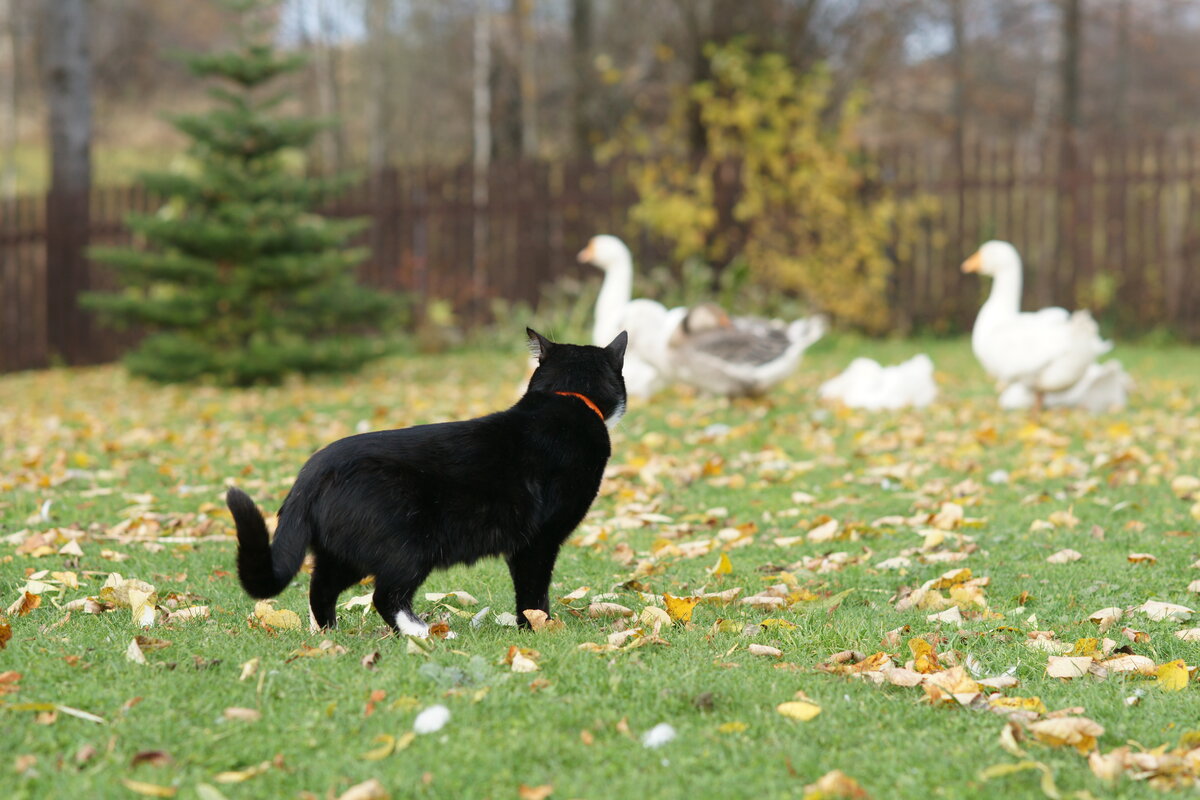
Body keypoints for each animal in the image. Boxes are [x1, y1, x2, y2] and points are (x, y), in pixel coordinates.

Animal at [224, 328, 628, 633]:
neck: (568, 399)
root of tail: (311, 473)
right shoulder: (539, 540)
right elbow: (533, 592)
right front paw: (538, 627)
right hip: (408, 546)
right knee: (385, 595)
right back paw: (423, 633)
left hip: (344, 550)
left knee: (321, 586)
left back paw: (329, 634)